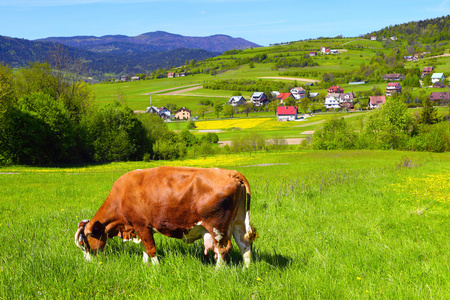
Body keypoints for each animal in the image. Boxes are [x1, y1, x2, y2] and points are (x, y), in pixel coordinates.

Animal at [75, 166, 255, 268]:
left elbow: (151, 248)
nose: (87, 262)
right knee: (244, 244)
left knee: (223, 249)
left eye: (84, 243)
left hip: (217, 227)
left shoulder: (141, 225)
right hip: (238, 222)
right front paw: (145, 264)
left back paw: (218, 271)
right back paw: (247, 269)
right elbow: (145, 248)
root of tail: (229, 173)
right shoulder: (139, 229)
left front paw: (155, 268)